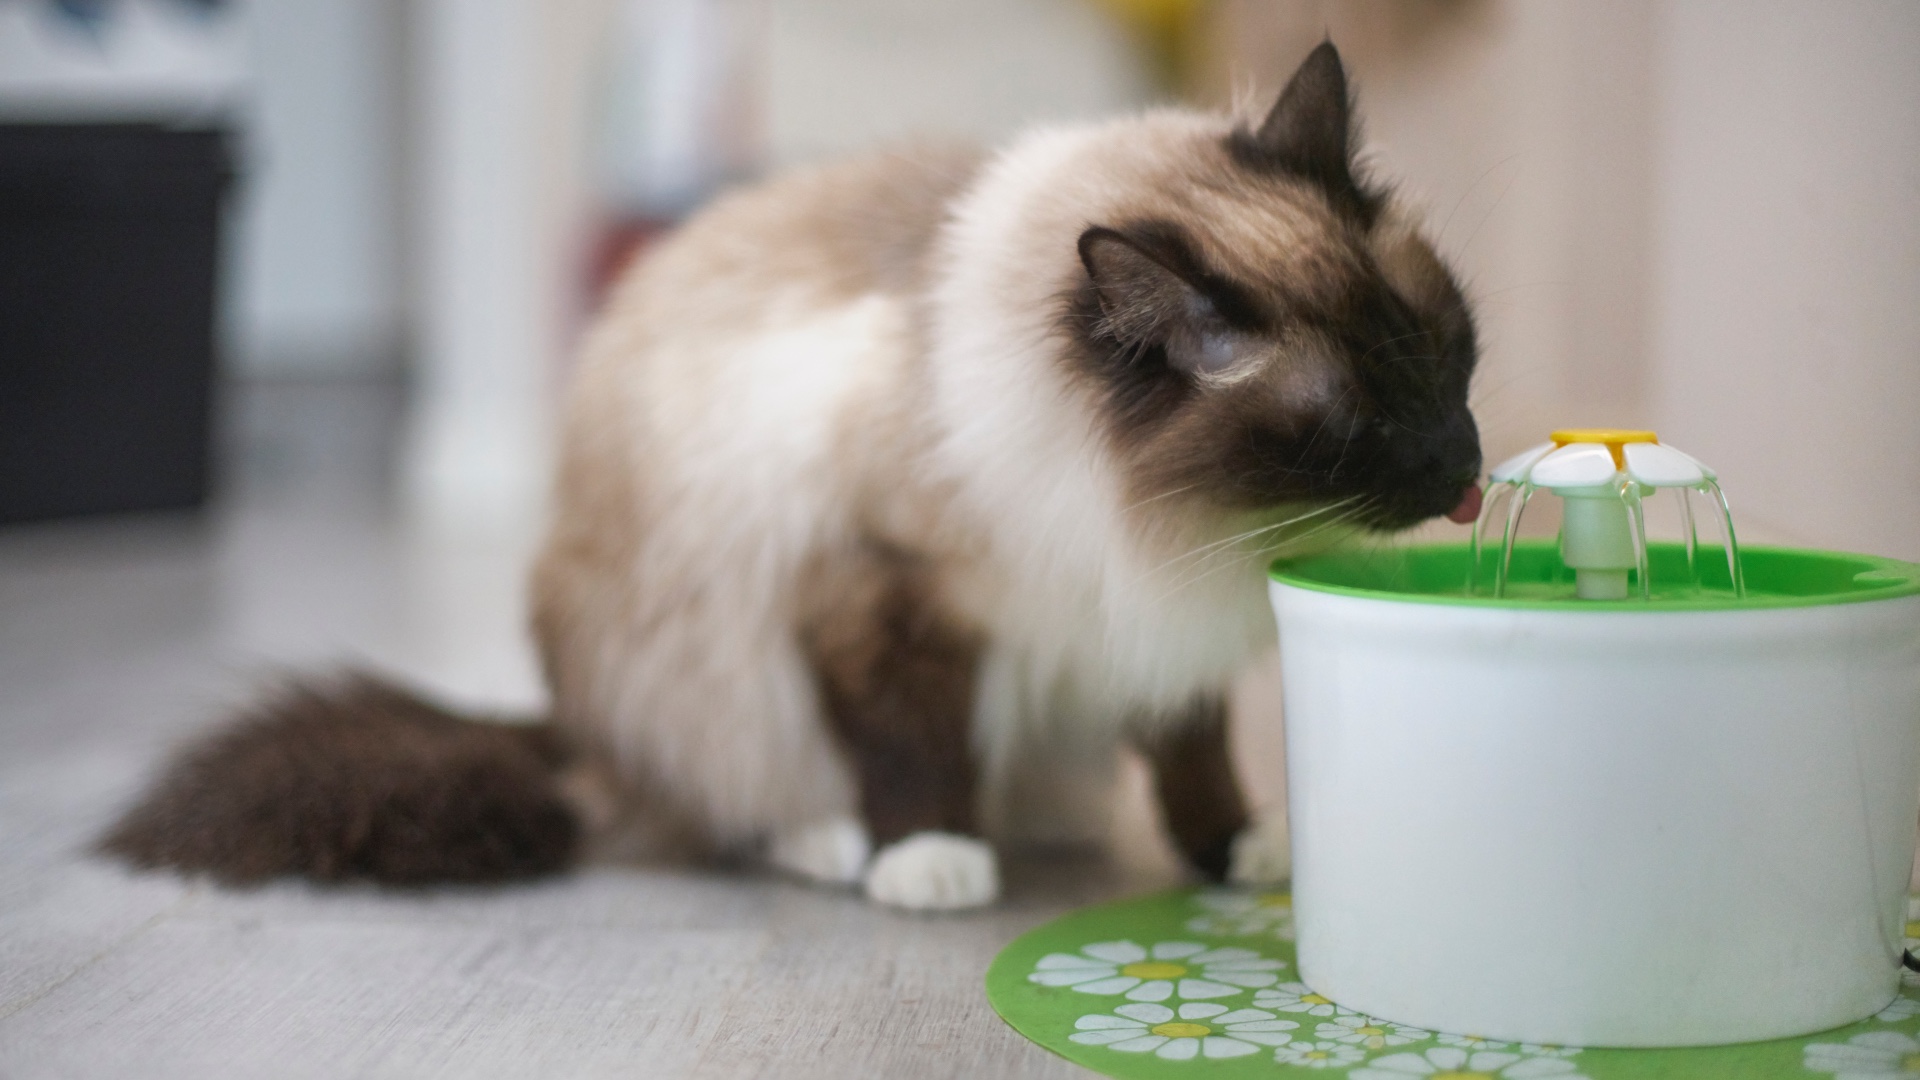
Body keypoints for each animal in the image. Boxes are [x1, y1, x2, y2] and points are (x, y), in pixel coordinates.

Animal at [101, 46, 1482, 910]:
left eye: (1448, 355)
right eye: (1354, 426)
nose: (1464, 469)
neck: (1176, 517)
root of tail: (564, 732)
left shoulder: (1153, 624)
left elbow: (1194, 757)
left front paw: (1235, 847)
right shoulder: (881, 599)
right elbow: (911, 747)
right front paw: (929, 861)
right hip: (707, 672)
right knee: (722, 803)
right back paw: (842, 847)